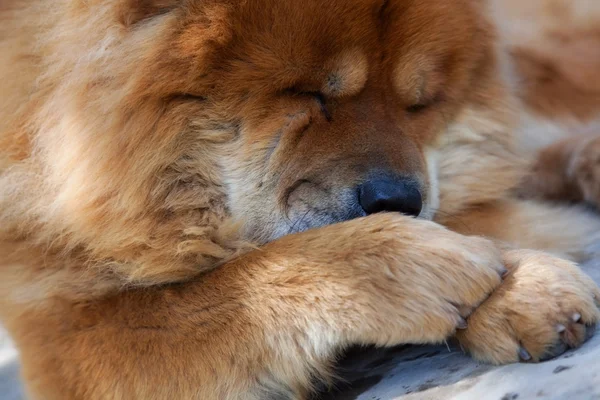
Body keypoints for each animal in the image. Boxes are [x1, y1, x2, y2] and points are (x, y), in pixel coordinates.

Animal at [3, 0, 600, 398]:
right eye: (309, 94)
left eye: (417, 104)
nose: (399, 199)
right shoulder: (66, 332)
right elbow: (232, 285)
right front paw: (416, 263)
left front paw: (519, 281)